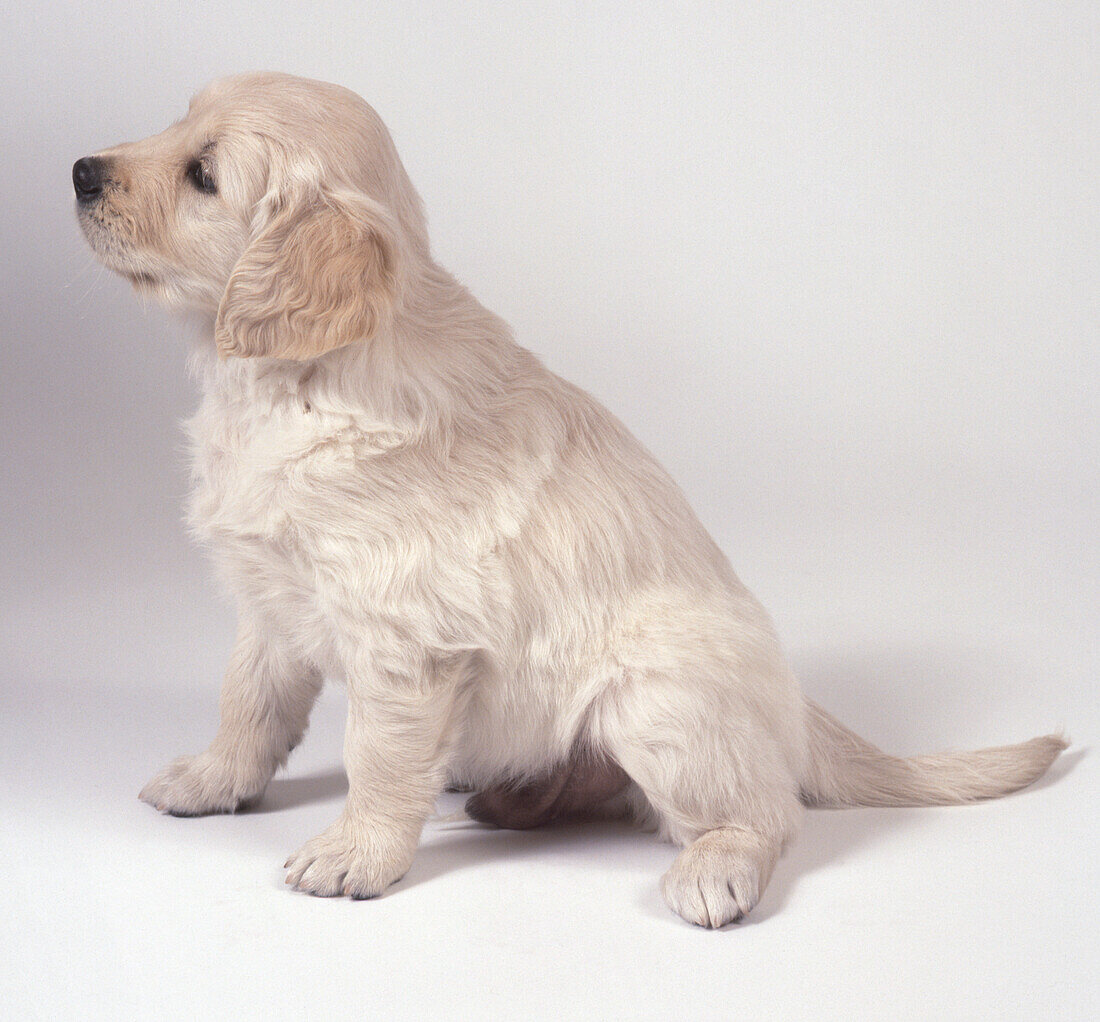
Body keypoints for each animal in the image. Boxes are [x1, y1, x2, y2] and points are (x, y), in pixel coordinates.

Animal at [75, 71, 1064, 924]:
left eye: (204, 176)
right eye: (177, 123)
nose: (81, 170)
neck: (292, 384)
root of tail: (794, 707)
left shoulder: (402, 634)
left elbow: (377, 756)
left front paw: (357, 852)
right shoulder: (272, 600)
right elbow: (248, 703)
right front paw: (211, 781)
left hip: (657, 704)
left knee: (767, 811)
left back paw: (712, 865)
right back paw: (509, 795)